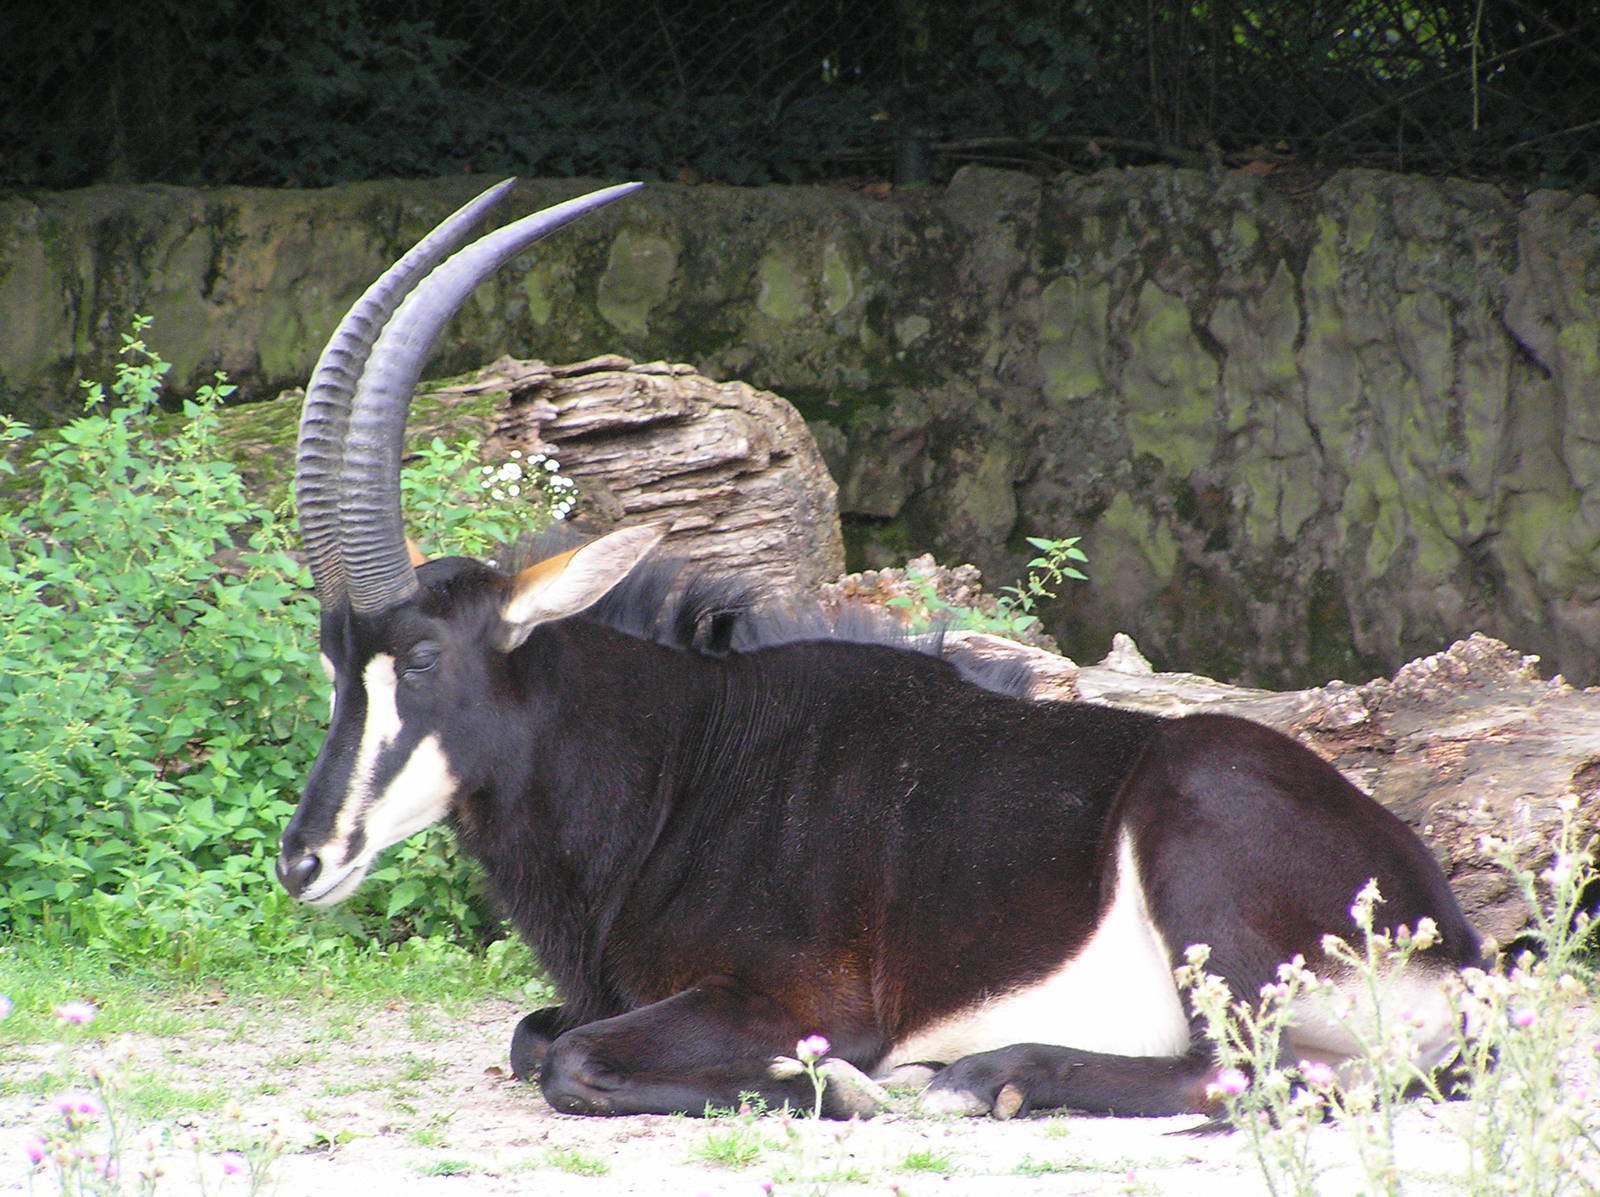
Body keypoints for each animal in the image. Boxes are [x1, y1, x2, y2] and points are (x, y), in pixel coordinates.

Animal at [276, 179, 1481, 1119]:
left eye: (421, 660)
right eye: (335, 664)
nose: (304, 862)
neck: (686, 761)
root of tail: (1451, 943)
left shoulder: (794, 1000)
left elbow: (568, 1057)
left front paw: (831, 1085)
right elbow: (533, 1035)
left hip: (1205, 866)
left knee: (1261, 1073)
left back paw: (983, 1075)